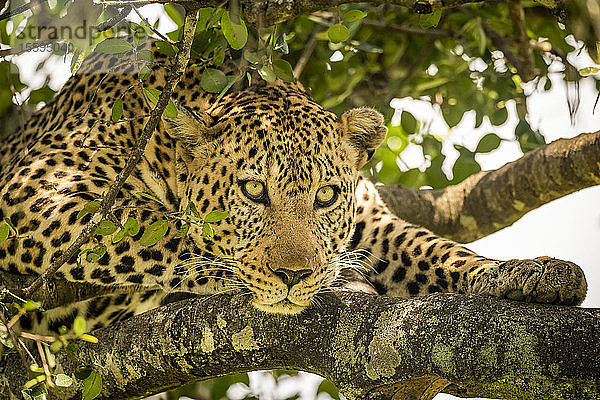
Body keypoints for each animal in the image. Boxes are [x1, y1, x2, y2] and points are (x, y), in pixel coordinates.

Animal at [0, 43, 588, 334]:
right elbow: (161, 232)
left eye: (326, 196)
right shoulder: (37, 189)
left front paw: (525, 272)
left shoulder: (371, 222)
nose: (293, 276)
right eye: (252, 191)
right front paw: (256, 277)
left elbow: (434, 248)